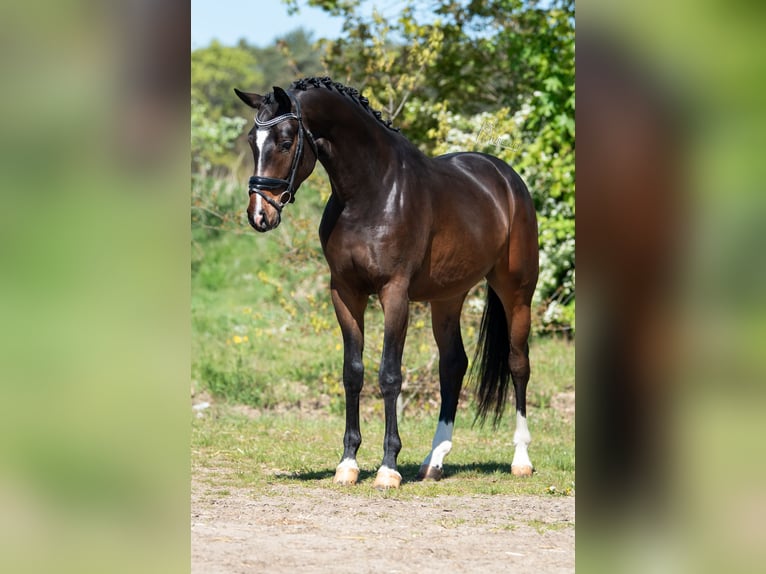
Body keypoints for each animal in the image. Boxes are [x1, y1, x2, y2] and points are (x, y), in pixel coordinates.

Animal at [234, 77, 539, 489]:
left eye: (284, 141)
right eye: (253, 140)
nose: (259, 214)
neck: (372, 192)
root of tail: (505, 177)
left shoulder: (394, 293)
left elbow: (389, 374)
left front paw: (388, 467)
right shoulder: (345, 293)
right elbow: (353, 372)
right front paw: (347, 463)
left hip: (517, 292)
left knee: (518, 363)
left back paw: (520, 459)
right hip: (448, 297)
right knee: (453, 365)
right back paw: (434, 460)